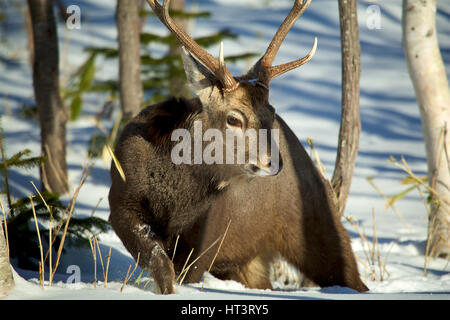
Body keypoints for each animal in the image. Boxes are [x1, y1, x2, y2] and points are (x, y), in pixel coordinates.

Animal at [109, 0, 370, 296]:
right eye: (233, 118)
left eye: (271, 113)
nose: (274, 162)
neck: (174, 201)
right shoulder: (120, 201)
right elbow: (159, 262)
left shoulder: (211, 230)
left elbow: (185, 273)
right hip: (247, 259)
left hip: (317, 223)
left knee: (351, 275)